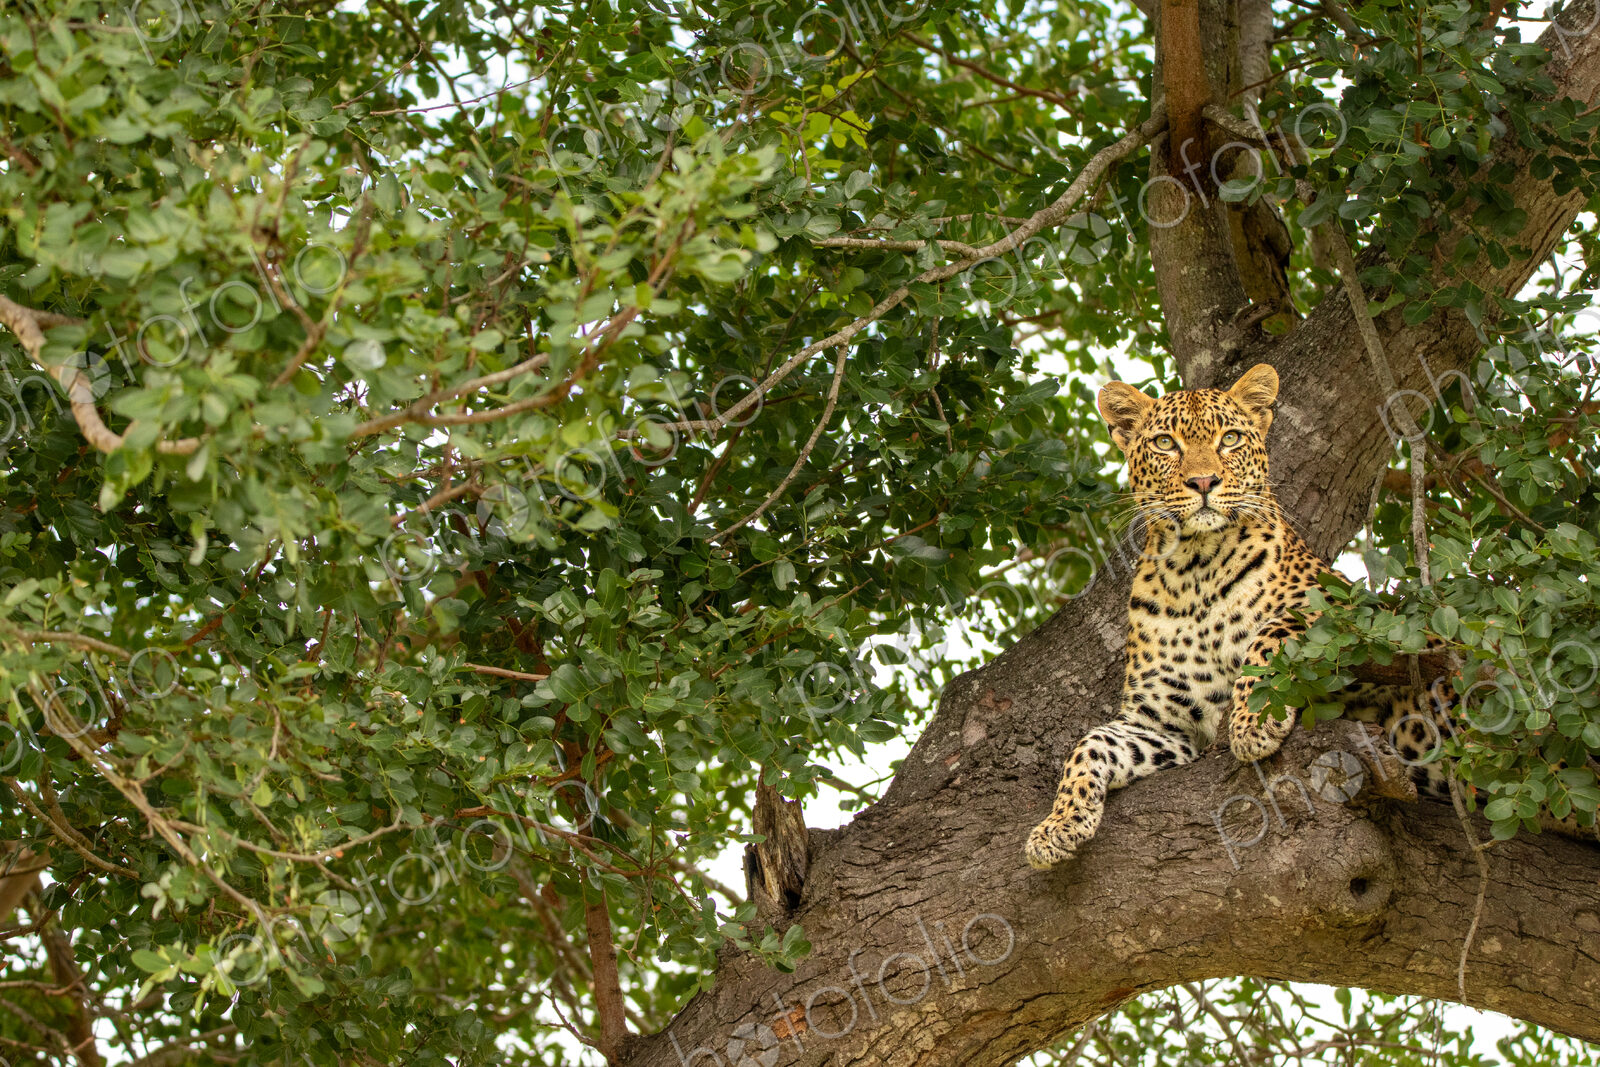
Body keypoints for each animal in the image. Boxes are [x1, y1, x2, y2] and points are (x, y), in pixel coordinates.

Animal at [1024, 363, 1460, 871]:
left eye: (1229, 438)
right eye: (1165, 443)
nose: (1203, 482)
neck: (1193, 571)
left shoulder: (1361, 622)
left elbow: (1276, 631)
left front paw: (1253, 722)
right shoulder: (1165, 727)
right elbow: (1090, 743)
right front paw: (1056, 826)